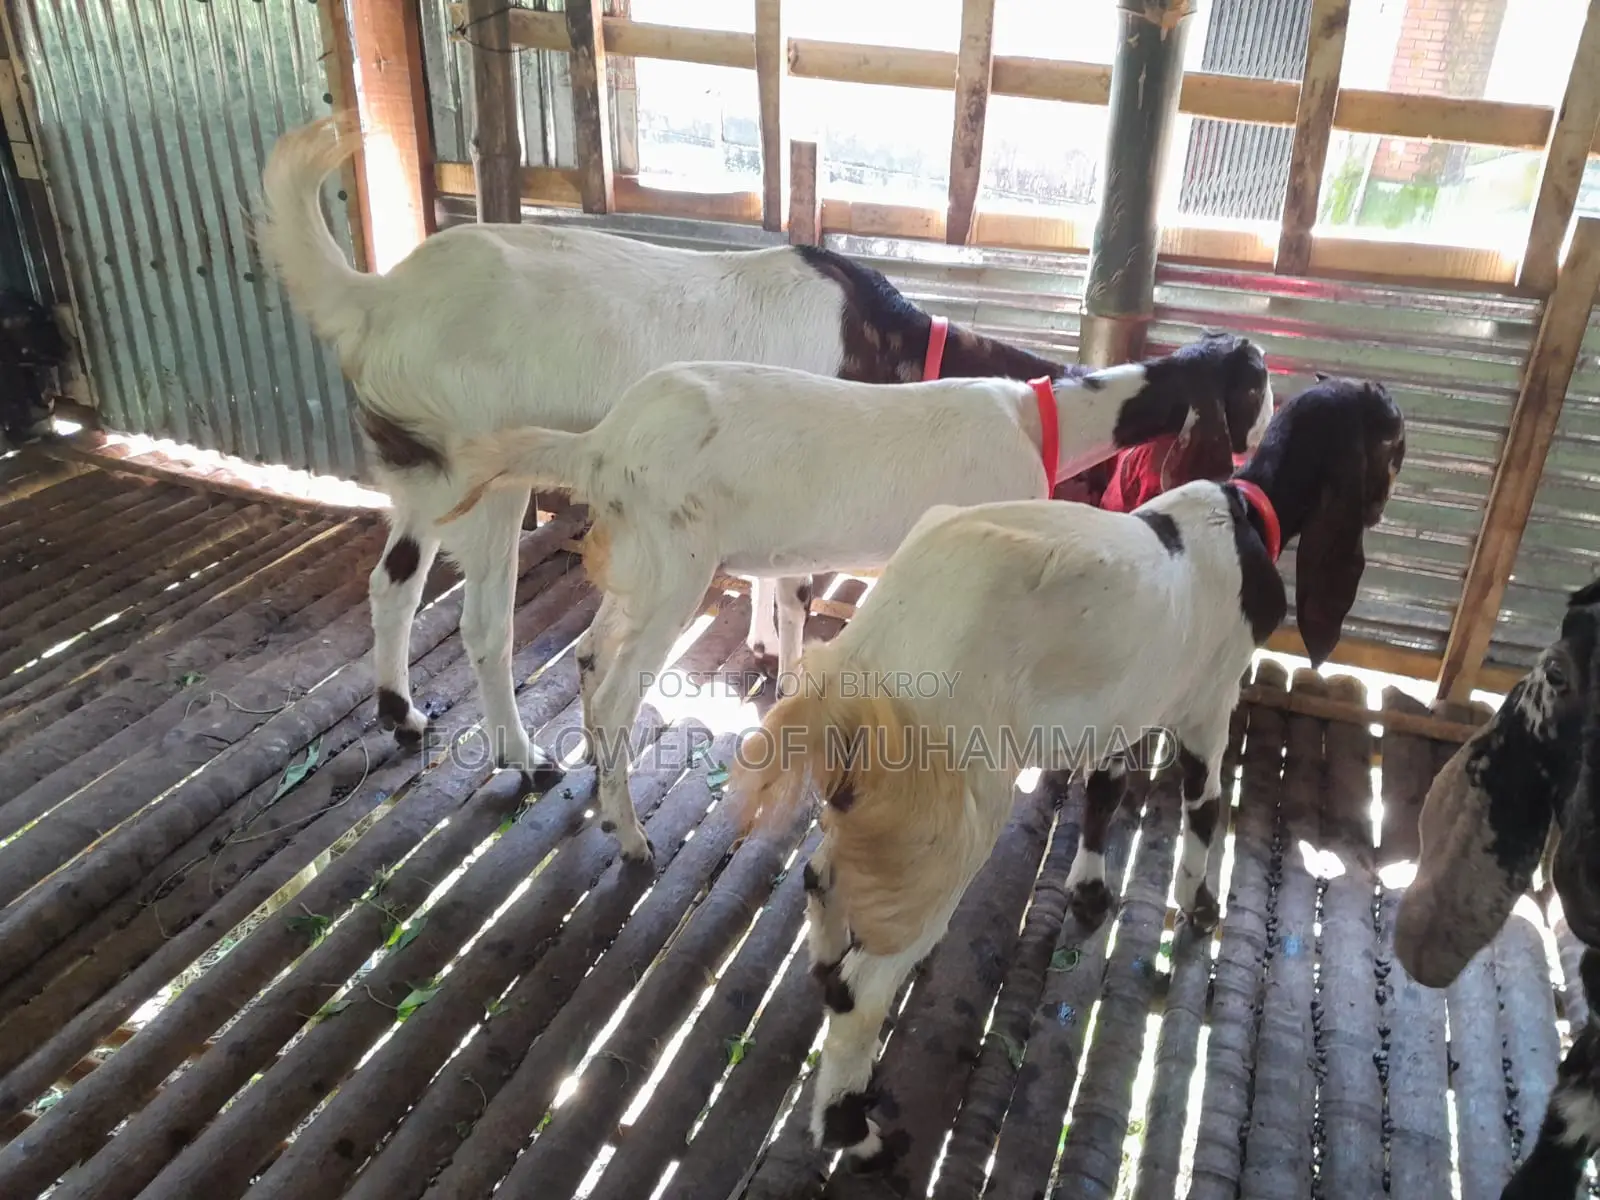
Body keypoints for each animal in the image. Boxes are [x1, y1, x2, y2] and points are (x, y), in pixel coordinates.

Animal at [254, 115, 1270, 795]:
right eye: (1251, 399)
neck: (895, 346)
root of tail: (380, 300)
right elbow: (794, 587)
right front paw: (778, 657)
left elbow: (768, 574)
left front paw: (753, 636)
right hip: (483, 464)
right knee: (480, 623)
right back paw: (524, 754)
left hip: (429, 467)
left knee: (392, 580)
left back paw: (400, 713)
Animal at [441, 343, 1274, 863]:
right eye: (1256, 383)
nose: (1257, 439)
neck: (1039, 422)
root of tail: (604, 444)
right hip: (676, 564)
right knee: (617, 691)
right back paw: (629, 834)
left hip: (644, 565)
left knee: (588, 655)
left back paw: (595, 791)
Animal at [728, 375, 1405, 1167]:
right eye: (1391, 434)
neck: (1244, 517)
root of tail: (855, 676)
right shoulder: (1209, 702)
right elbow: (1204, 806)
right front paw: (1201, 905)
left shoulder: (1119, 705)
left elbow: (1106, 791)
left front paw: (1089, 889)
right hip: (948, 810)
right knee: (868, 983)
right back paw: (855, 1132)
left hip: (877, 799)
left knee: (823, 886)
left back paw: (830, 975)